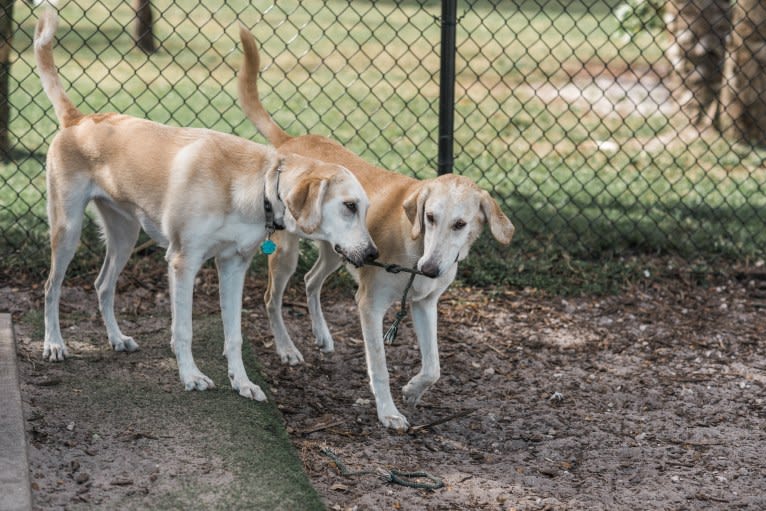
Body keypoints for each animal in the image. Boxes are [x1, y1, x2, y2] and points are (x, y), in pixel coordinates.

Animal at [36, 12, 378, 402]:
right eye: (349, 206)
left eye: (366, 208)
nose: (372, 254)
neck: (255, 184)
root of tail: (78, 120)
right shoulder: (183, 262)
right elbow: (183, 330)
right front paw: (191, 376)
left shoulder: (232, 265)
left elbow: (234, 334)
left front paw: (242, 382)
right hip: (67, 230)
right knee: (51, 287)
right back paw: (54, 344)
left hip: (125, 235)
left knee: (103, 284)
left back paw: (116, 338)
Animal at [240, 26, 516, 430]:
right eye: (430, 217)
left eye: (460, 224)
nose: (430, 269)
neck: (416, 250)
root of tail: (291, 142)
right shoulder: (369, 306)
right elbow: (380, 368)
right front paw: (388, 412)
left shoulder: (424, 304)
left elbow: (434, 367)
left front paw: (414, 390)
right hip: (286, 252)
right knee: (271, 299)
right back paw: (287, 349)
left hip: (340, 252)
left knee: (311, 281)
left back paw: (322, 335)